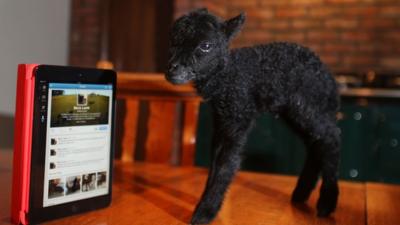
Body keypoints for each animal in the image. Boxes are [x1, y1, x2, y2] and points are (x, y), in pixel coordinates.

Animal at [164, 7, 340, 224]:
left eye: (206, 45)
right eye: (173, 41)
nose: (172, 69)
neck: (229, 78)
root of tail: (330, 80)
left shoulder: (239, 115)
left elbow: (226, 164)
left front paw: (205, 212)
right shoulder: (222, 119)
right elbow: (215, 162)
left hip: (310, 104)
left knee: (331, 138)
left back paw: (327, 202)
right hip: (296, 110)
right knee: (315, 143)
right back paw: (301, 194)